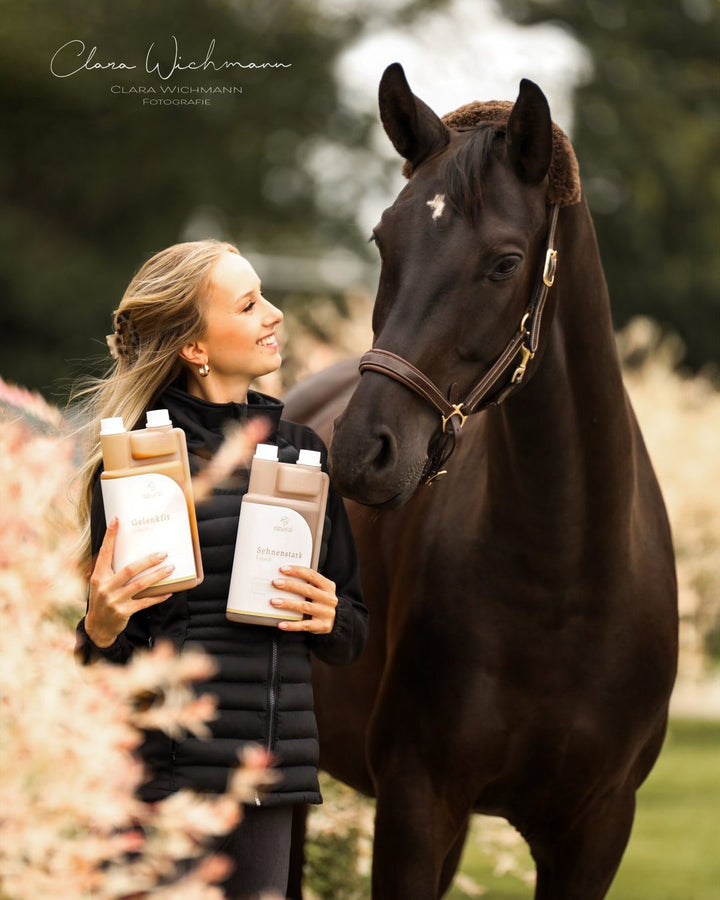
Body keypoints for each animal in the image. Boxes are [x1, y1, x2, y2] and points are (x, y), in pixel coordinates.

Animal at [283, 63, 678, 899]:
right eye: (384, 241)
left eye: (503, 262)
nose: (363, 451)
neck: (566, 584)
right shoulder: (415, 800)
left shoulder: (595, 829)